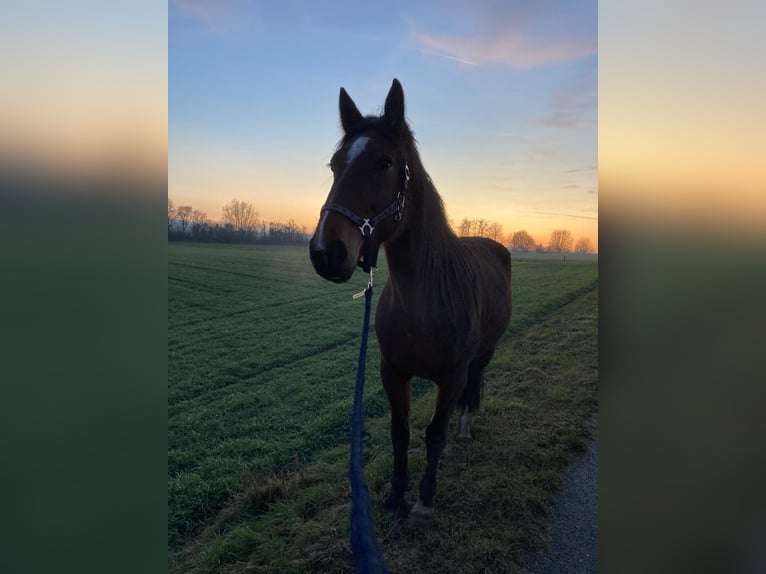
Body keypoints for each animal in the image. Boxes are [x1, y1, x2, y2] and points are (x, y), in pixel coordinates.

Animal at [308, 77, 512, 532]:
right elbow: (400, 434)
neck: (423, 299)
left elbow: (434, 435)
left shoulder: (451, 376)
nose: (326, 252)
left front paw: (423, 504)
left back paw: (466, 427)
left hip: (485, 353)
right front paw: (395, 496)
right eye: (334, 165)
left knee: (475, 386)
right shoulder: (392, 372)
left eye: (384, 163)